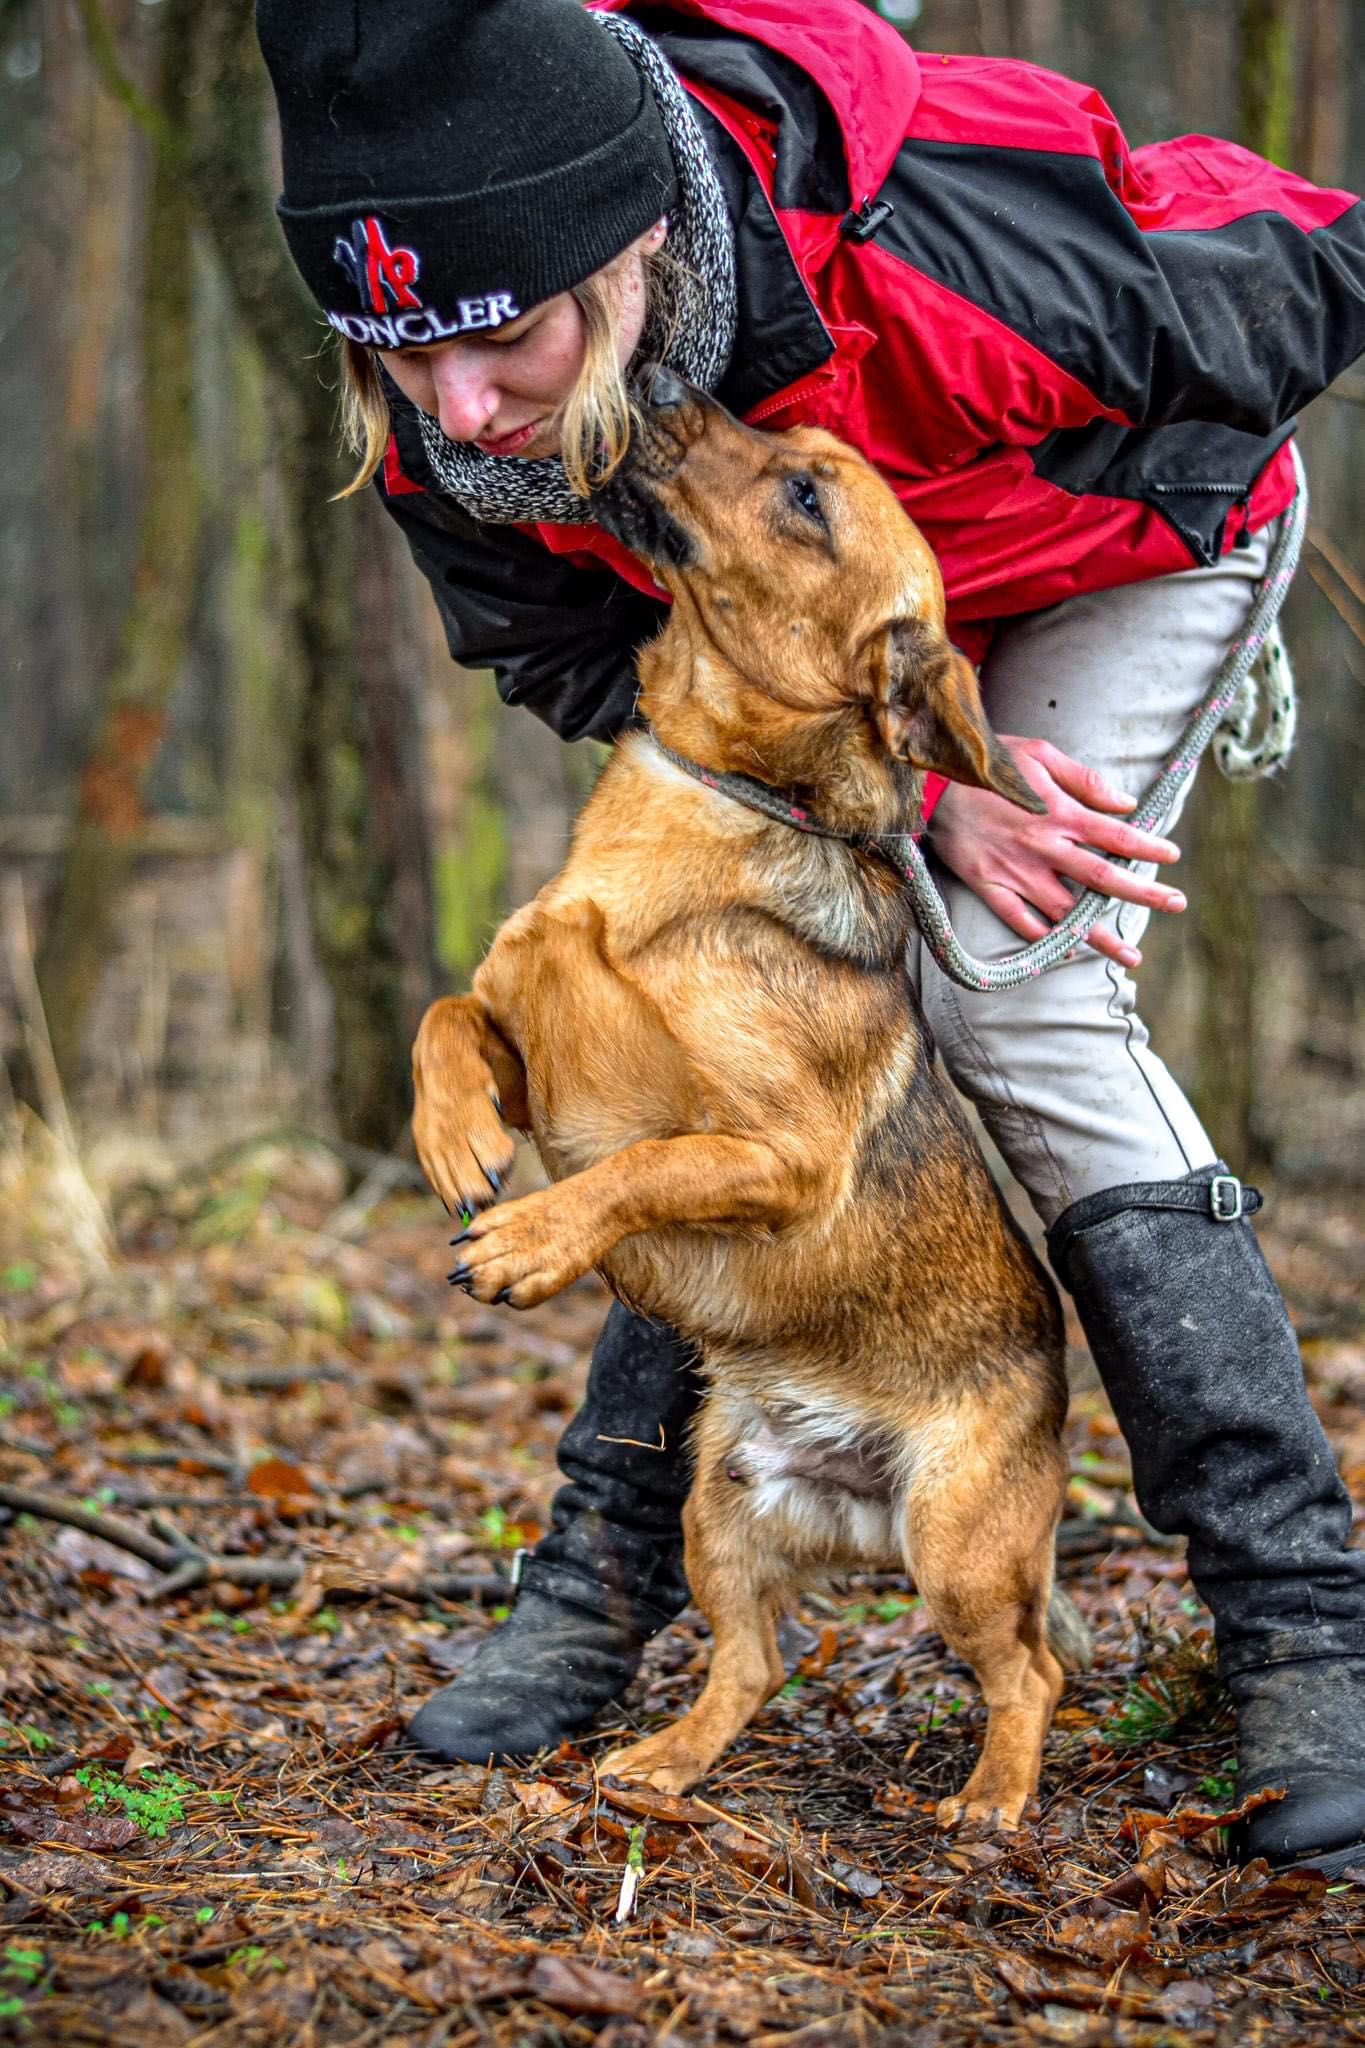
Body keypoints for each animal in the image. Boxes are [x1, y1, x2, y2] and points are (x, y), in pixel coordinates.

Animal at [413, 372, 1088, 1843]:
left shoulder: (781, 1155)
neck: (705, 804)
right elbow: (447, 1017)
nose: (666, 380)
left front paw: (533, 1239)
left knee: (1032, 1669)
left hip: (958, 1547)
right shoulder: (527, 1039)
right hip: (716, 1506)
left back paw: (991, 1799)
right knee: (751, 1657)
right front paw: (455, 1140)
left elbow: (637, 1168)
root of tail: (856, 1498)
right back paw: (662, 1766)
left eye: (806, 496)